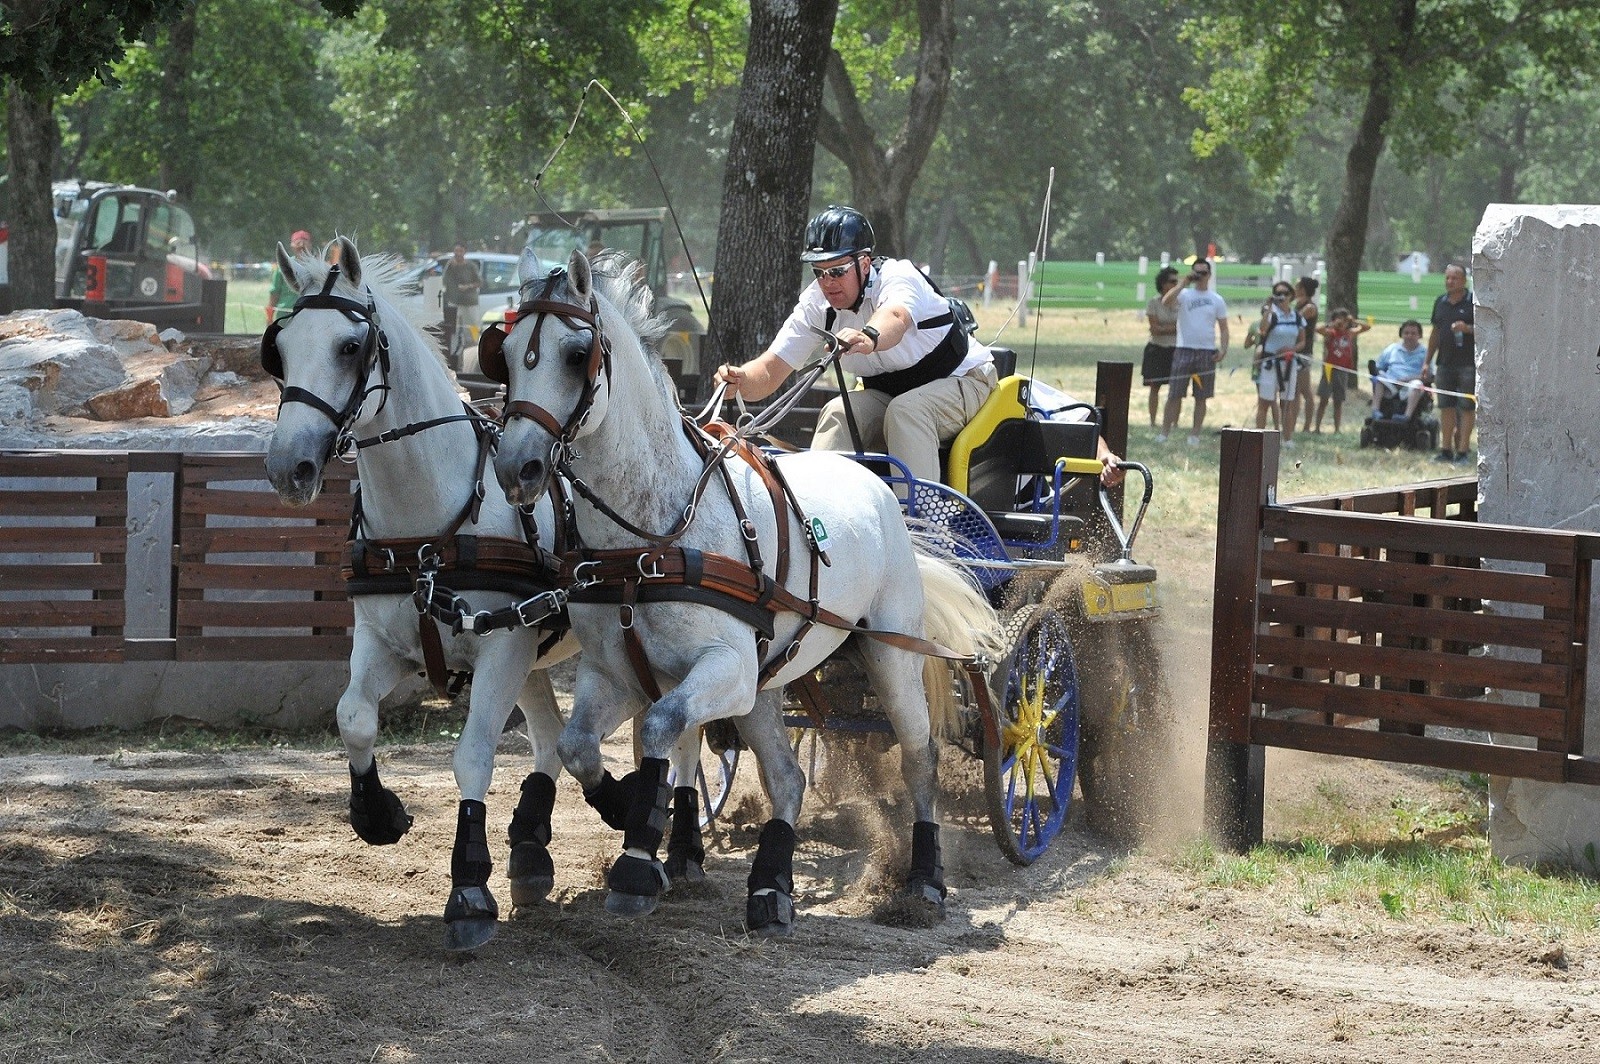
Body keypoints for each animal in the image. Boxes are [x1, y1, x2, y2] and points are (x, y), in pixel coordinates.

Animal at [260, 238, 711, 951]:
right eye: (277, 349)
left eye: (350, 347)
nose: (289, 467)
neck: (429, 524)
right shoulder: (381, 640)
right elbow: (353, 715)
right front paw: (377, 812)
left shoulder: (502, 647)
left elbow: (472, 756)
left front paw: (469, 890)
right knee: (558, 735)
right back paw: (541, 844)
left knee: (680, 736)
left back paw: (680, 843)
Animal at [486, 248, 1005, 933]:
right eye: (506, 351)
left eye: (576, 355)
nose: (515, 468)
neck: (655, 532)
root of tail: (878, 484)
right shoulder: (617, 673)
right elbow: (579, 747)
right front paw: (635, 818)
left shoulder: (724, 669)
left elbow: (660, 728)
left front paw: (638, 858)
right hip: (769, 677)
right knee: (786, 779)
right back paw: (770, 887)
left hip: (890, 653)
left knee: (919, 755)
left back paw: (924, 881)